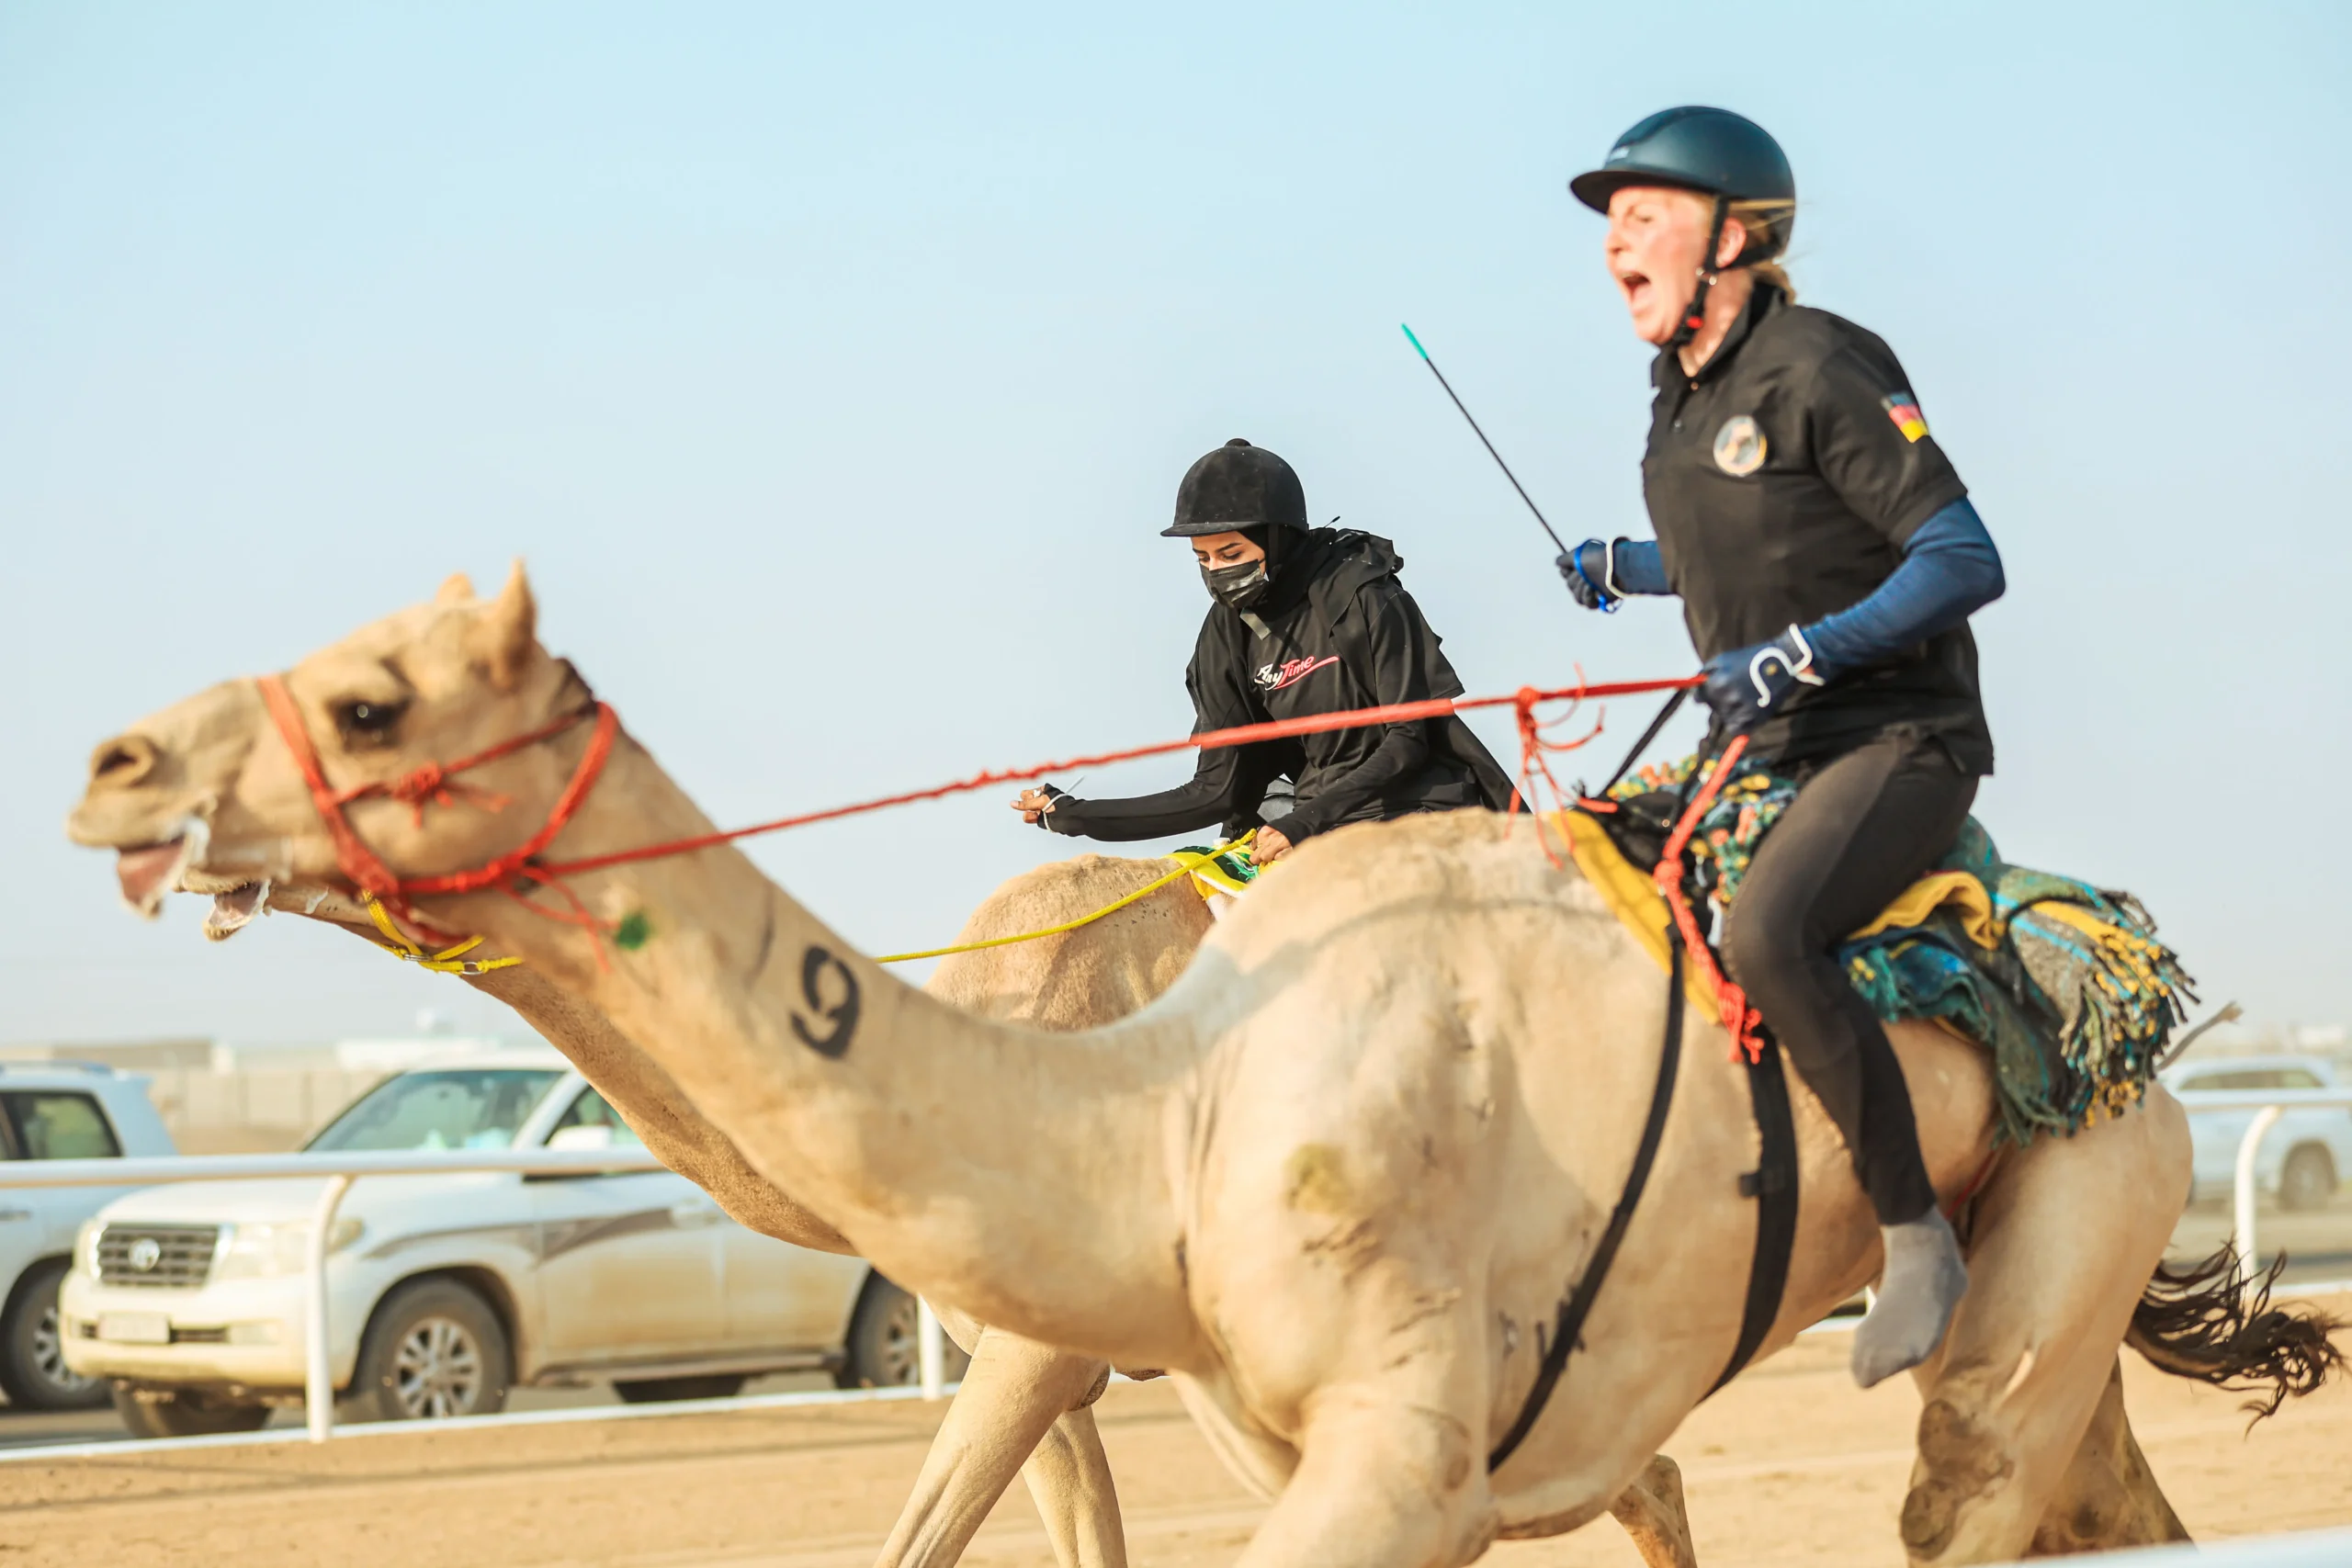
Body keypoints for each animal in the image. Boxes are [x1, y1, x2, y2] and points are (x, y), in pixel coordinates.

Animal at [74, 570, 2333, 1561]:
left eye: (370, 701)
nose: (115, 761)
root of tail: (2118, 991)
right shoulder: (1100, 1342)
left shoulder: (1086, 1343)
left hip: (2040, 1219)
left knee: (1941, 1473)